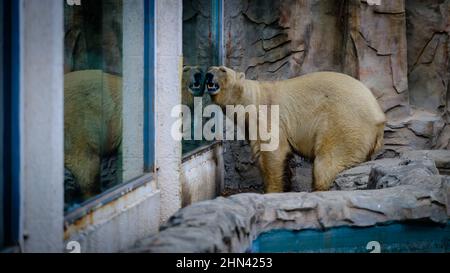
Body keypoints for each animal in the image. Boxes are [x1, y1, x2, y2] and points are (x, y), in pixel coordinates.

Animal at [206, 66, 384, 191]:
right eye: (210, 69)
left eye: (222, 69)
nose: (208, 74)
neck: (250, 99)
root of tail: (379, 116)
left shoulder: (268, 114)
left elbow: (273, 151)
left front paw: (272, 190)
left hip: (344, 122)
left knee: (327, 163)